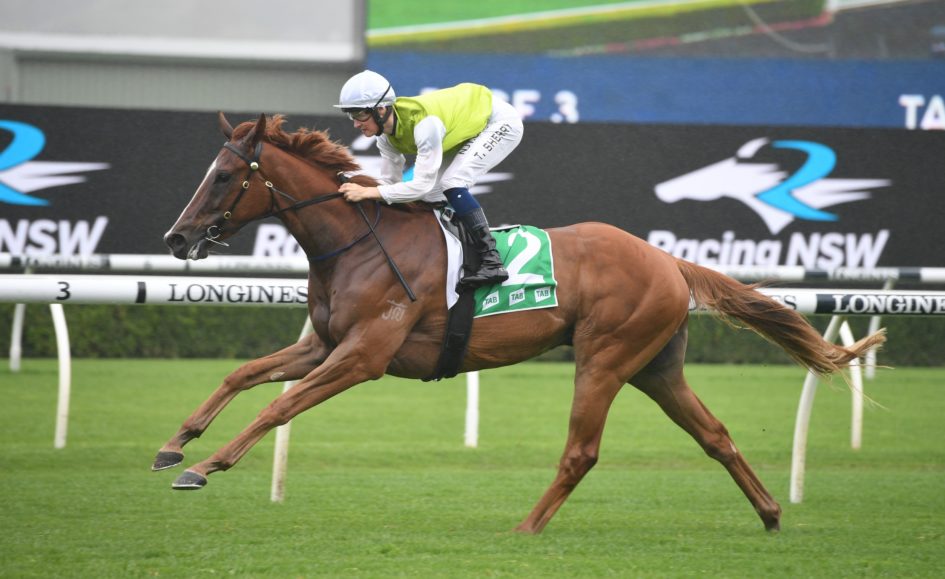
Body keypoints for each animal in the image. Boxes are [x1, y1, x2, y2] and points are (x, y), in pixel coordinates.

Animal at [155, 112, 885, 534]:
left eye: (223, 175)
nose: (176, 237)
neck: (361, 240)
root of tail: (667, 260)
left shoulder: (364, 357)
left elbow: (281, 407)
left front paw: (207, 464)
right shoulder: (327, 344)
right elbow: (244, 374)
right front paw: (176, 443)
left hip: (605, 357)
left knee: (582, 451)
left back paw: (528, 528)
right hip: (656, 367)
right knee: (715, 435)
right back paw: (769, 512)